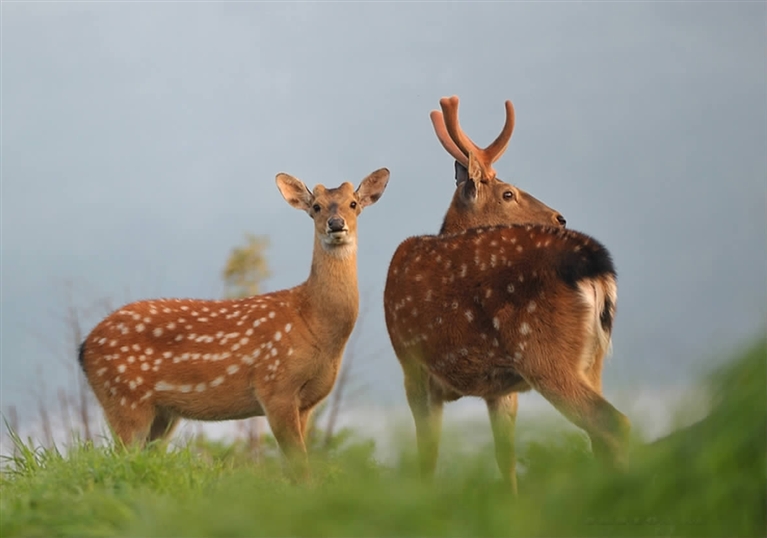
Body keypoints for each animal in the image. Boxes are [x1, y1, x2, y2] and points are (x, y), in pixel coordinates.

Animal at [79, 168, 390, 478]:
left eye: (353, 203)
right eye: (316, 207)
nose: (335, 224)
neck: (314, 323)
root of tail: (83, 348)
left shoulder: (307, 402)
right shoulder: (275, 387)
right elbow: (298, 466)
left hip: (161, 412)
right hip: (124, 397)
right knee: (121, 455)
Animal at [384, 95, 632, 490]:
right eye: (508, 193)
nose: (560, 217)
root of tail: (597, 267)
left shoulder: (412, 362)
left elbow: (427, 459)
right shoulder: (500, 390)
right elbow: (506, 458)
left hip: (544, 351)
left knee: (613, 423)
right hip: (592, 361)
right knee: (600, 434)